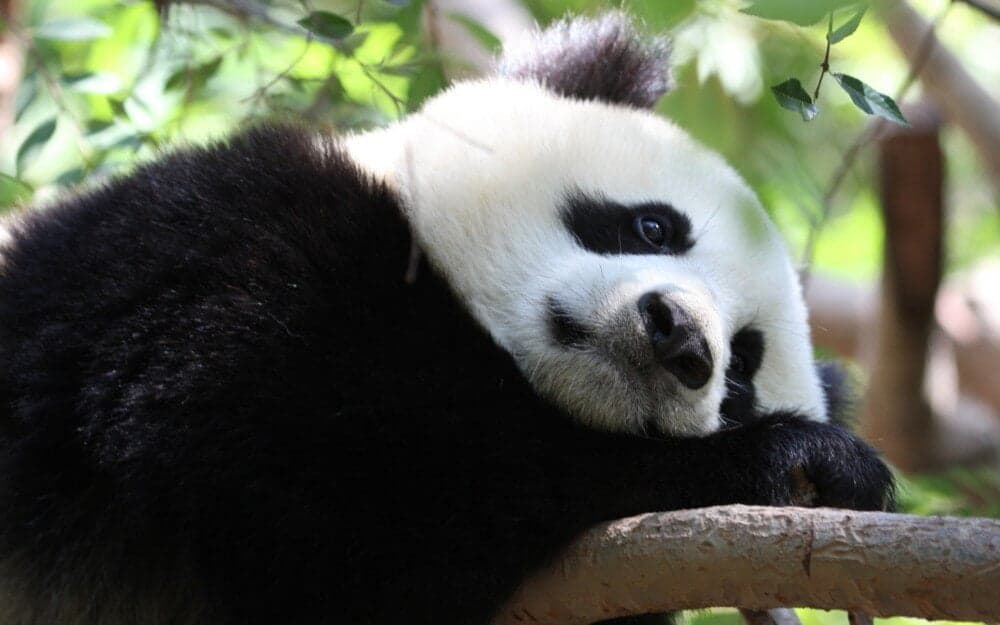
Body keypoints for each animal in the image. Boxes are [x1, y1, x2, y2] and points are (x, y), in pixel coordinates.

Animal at [0, 12, 892, 625]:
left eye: (740, 371)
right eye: (652, 226)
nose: (678, 336)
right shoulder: (218, 247)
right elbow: (331, 483)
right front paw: (797, 460)